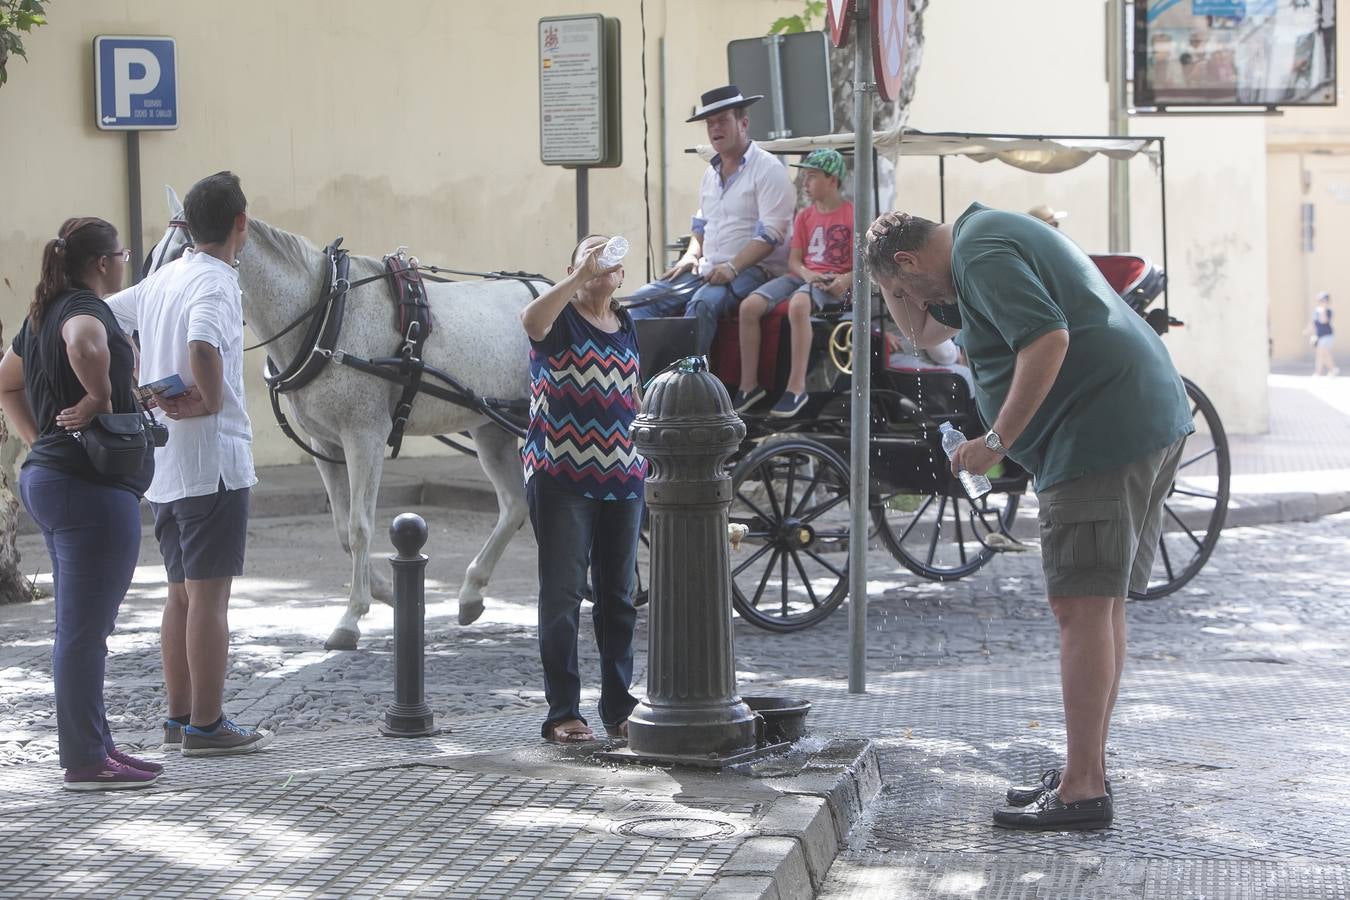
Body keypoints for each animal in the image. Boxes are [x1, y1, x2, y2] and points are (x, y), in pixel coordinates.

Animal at [146, 190, 537, 650]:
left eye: (184, 253)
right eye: (154, 254)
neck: (325, 314)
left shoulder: (365, 437)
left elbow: (360, 527)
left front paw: (351, 617)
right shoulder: (326, 444)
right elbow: (340, 529)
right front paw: (388, 592)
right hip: (491, 429)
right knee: (514, 506)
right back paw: (472, 592)